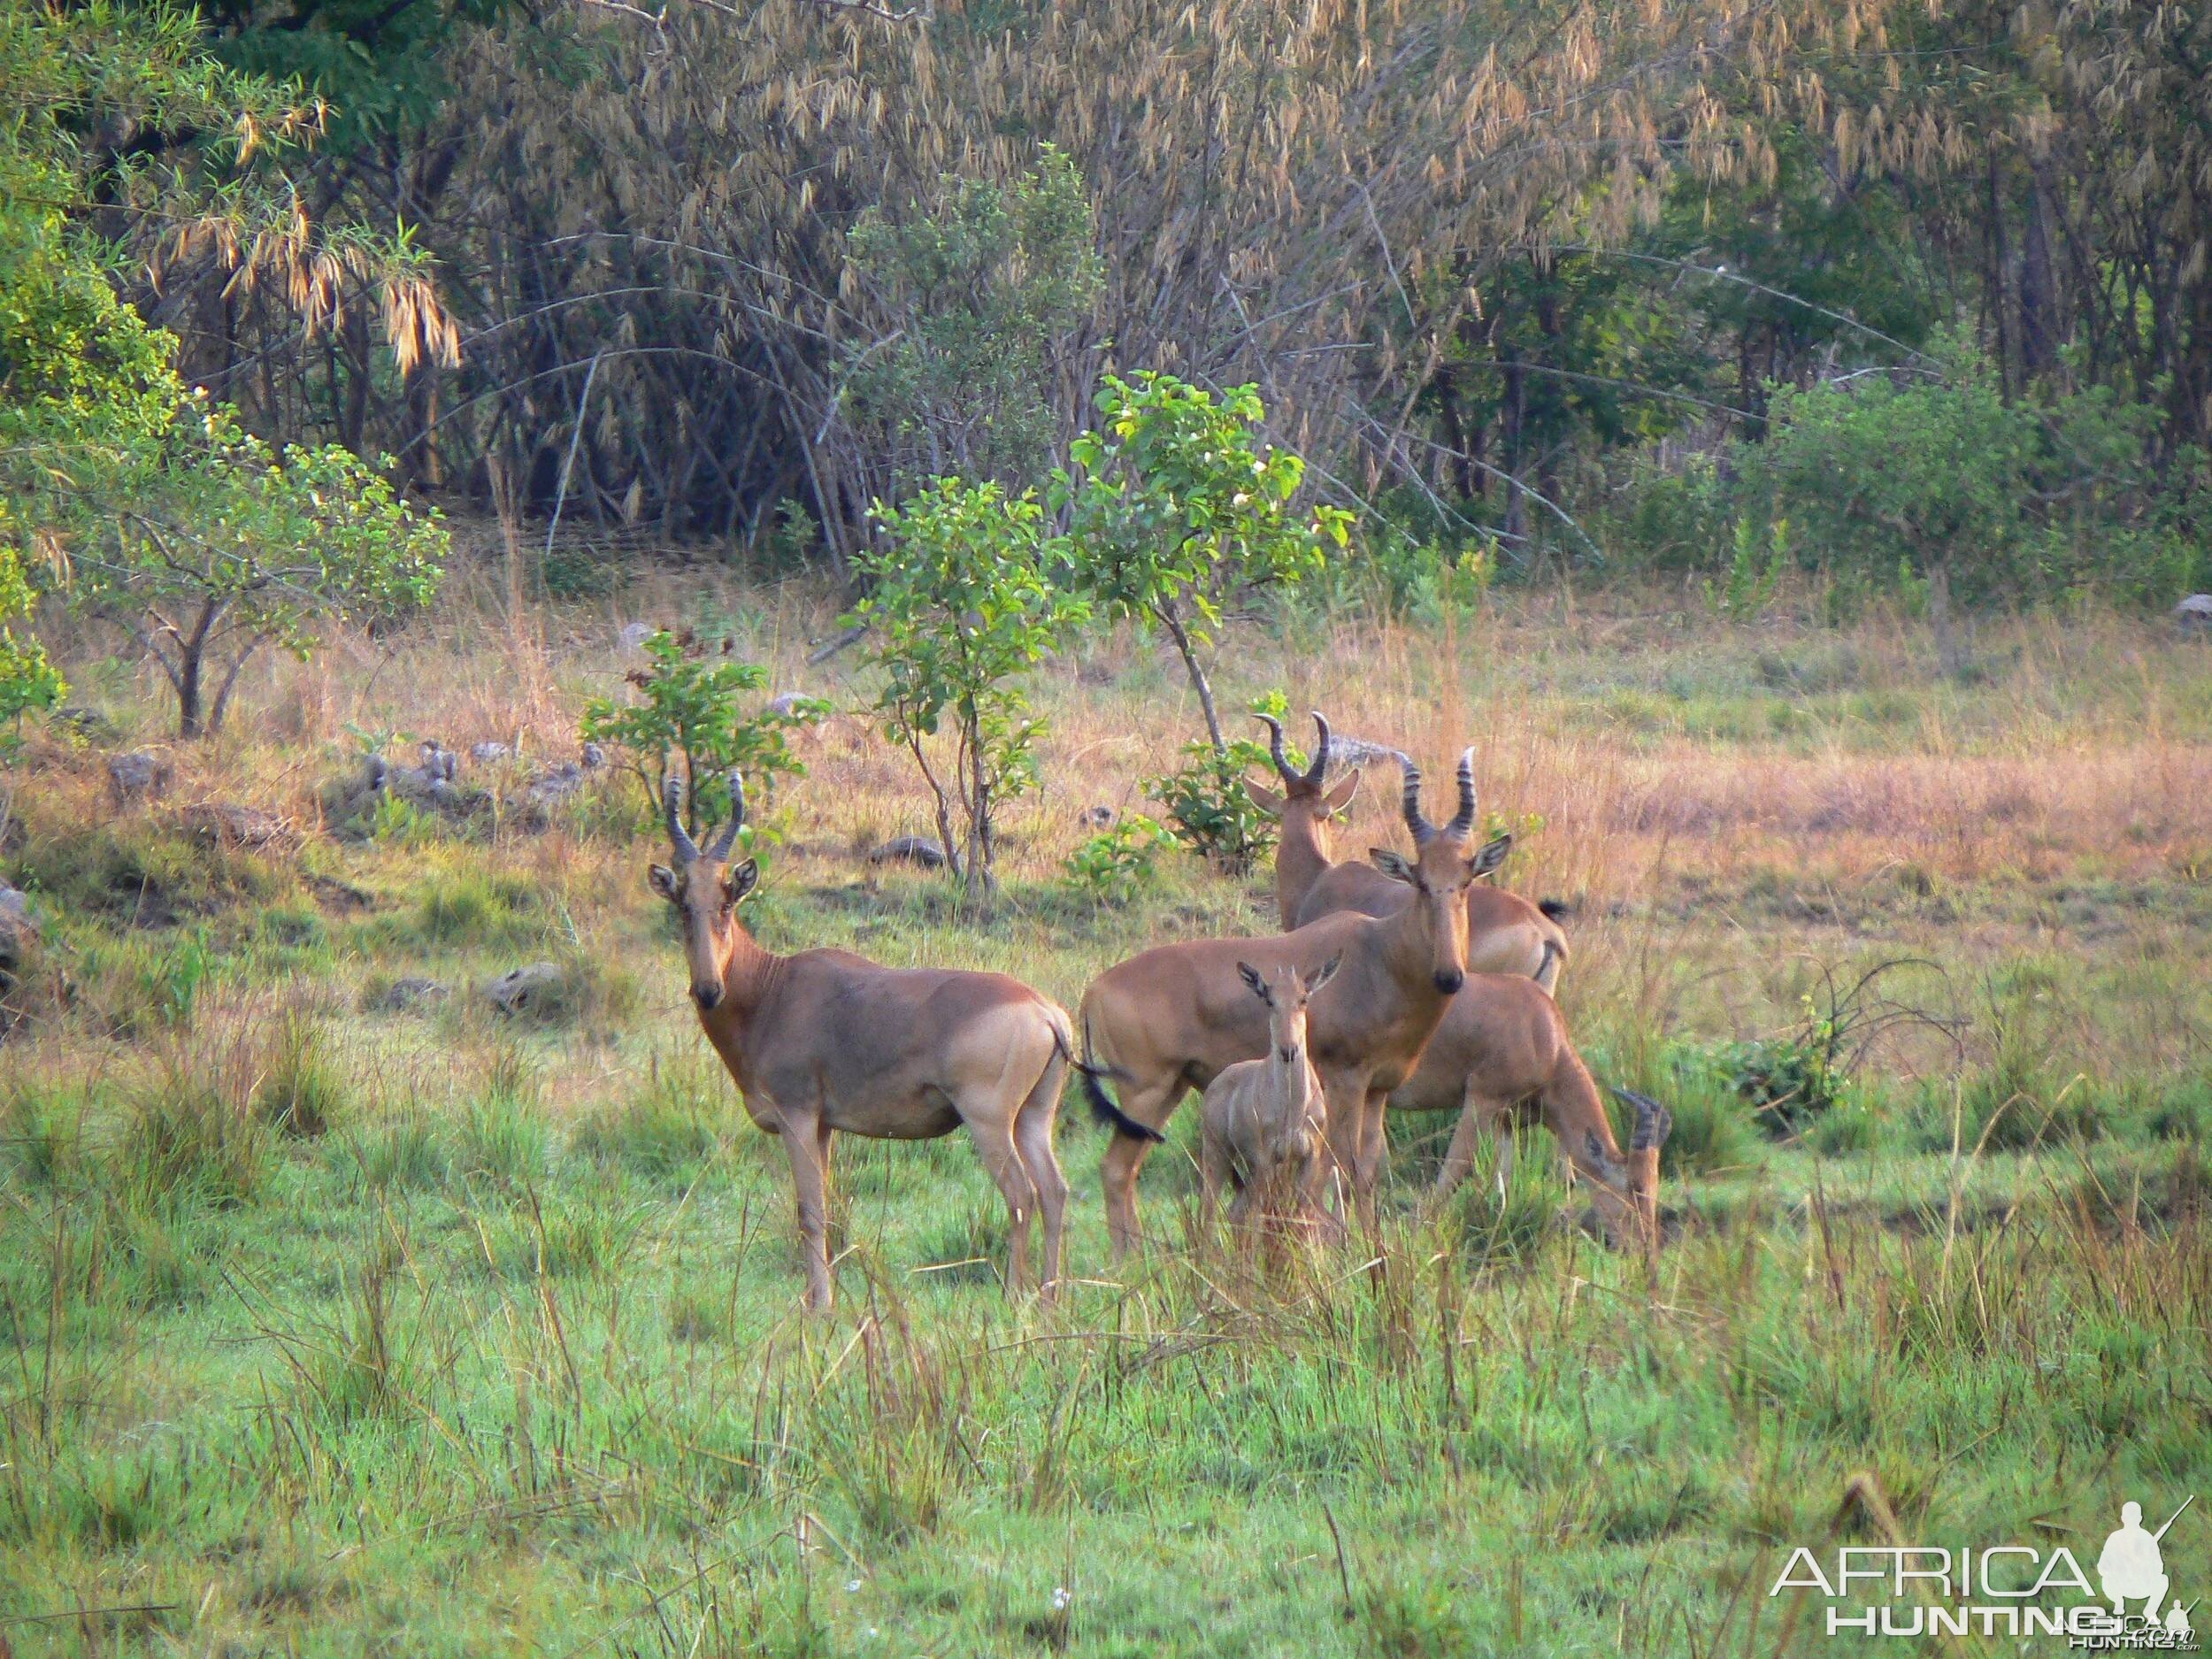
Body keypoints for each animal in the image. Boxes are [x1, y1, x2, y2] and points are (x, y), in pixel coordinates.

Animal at [650, 779, 1075, 1310]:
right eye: (683, 904)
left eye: (728, 900)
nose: (709, 991)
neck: (774, 988)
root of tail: (1044, 1011)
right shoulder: (823, 1126)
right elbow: (828, 1207)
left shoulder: (796, 1116)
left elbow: (809, 1210)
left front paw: (821, 1306)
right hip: (1034, 1116)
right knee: (1055, 1191)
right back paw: (1049, 1298)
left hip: (989, 1121)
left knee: (1021, 1194)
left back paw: (1015, 1297)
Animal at [1203, 960, 1336, 1239]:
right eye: (1269, 1000)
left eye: (1303, 999)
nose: (1288, 1050)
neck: (1293, 1109)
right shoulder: (1265, 1158)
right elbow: (1258, 1219)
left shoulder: (1309, 1157)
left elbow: (1301, 1218)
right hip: (1217, 1153)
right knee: (1210, 1213)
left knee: (1235, 1211)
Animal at [1389, 969, 1663, 1256]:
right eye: (1634, 1187)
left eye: (1655, 1185)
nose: (1644, 1250)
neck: (1540, 1023)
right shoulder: (1481, 1101)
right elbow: (1452, 1173)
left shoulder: (1506, 1122)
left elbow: (1506, 1182)